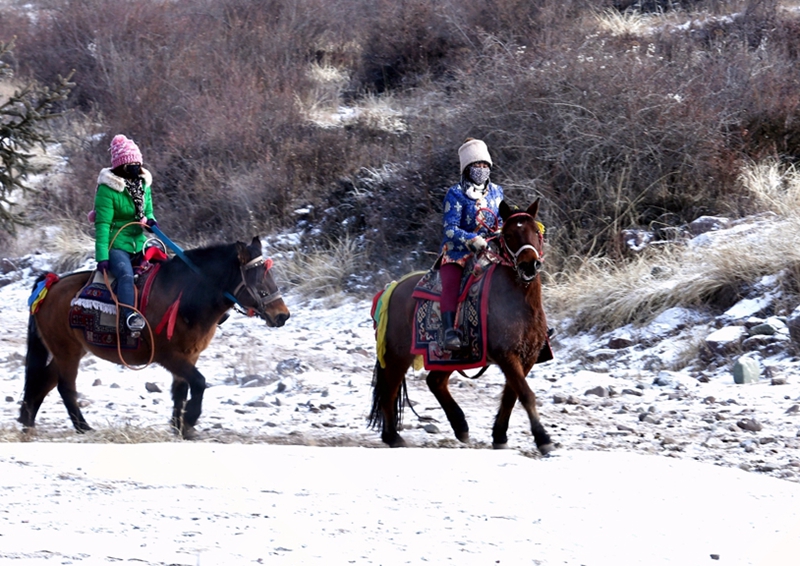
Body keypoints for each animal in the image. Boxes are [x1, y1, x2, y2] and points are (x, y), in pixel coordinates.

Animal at [18, 235, 290, 440]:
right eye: (258, 279)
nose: (282, 316)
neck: (185, 294)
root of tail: (50, 285)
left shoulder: (190, 354)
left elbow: (181, 390)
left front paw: (180, 427)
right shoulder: (168, 355)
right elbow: (199, 383)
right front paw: (190, 420)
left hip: (69, 350)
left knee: (43, 381)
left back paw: (28, 421)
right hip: (66, 350)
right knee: (65, 386)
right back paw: (82, 427)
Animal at [368, 201, 552, 458]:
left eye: (536, 231)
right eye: (508, 235)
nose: (529, 265)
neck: (518, 302)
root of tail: (392, 289)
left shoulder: (527, 357)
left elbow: (511, 395)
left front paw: (500, 436)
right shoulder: (507, 355)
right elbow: (525, 394)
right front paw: (543, 438)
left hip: (448, 357)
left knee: (434, 382)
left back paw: (460, 426)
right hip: (398, 355)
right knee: (389, 390)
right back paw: (393, 437)